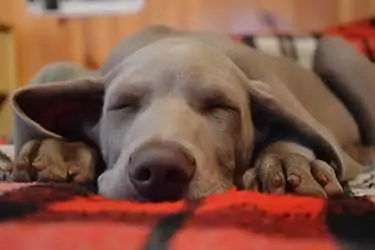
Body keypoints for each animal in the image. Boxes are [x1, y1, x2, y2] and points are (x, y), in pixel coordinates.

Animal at [5, 25, 375, 201]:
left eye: (222, 107)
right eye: (123, 105)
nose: (159, 169)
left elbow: (295, 132)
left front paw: (289, 163)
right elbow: (52, 70)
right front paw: (57, 149)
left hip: (333, 49)